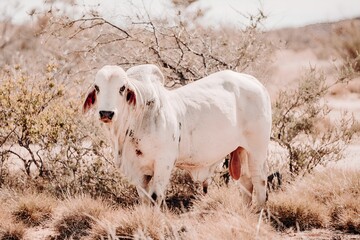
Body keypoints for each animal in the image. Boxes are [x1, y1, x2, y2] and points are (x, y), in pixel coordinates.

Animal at [83, 64, 272, 207]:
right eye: (97, 88)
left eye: (122, 88)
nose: (106, 113)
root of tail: (255, 83)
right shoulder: (138, 169)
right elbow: (144, 199)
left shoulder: (163, 162)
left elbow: (155, 197)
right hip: (241, 150)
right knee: (246, 184)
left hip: (257, 150)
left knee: (260, 181)